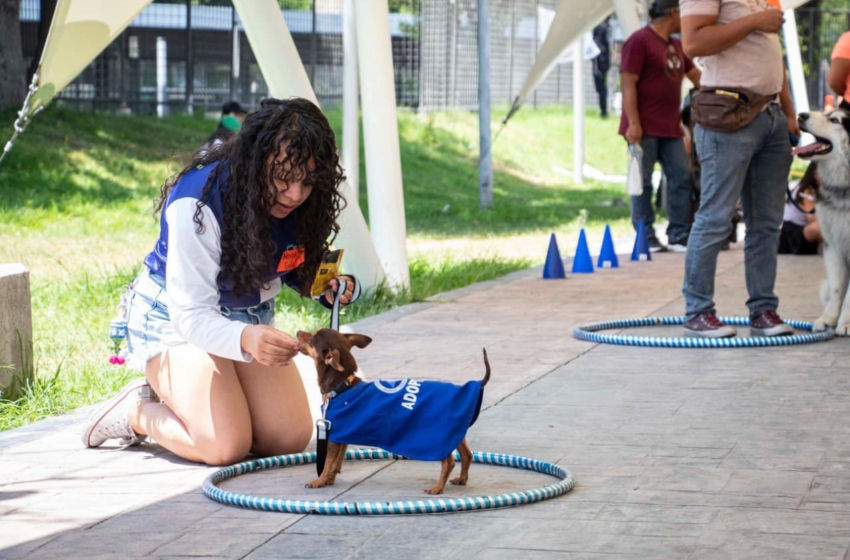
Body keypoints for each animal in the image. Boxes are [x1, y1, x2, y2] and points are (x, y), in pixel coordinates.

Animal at [296, 328, 490, 494]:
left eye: (312, 339)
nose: (297, 331)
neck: (343, 386)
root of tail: (475, 385)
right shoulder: (342, 435)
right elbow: (337, 461)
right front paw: (330, 478)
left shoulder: (334, 436)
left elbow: (328, 462)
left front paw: (319, 481)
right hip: (455, 432)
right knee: (467, 455)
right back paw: (462, 479)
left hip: (439, 436)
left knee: (449, 462)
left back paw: (437, 488)